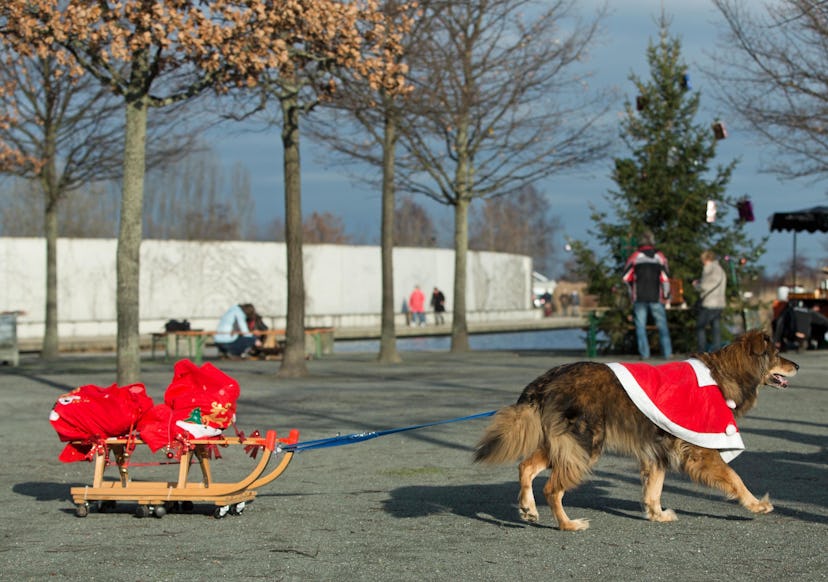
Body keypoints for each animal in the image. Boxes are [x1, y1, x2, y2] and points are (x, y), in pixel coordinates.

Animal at [476, 330, 800, 532]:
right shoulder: (700, 450)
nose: (797, 365)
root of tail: (548, 378)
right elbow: (735, 477)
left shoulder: (656, 450)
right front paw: (756, 504)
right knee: (551, 488)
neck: (722, 374)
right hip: (584, 443)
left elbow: (654, 488)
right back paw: (567, 525)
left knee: (526, 467)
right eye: (777, 353)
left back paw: (528, 508)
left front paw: (656, 514)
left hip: (564, 443)